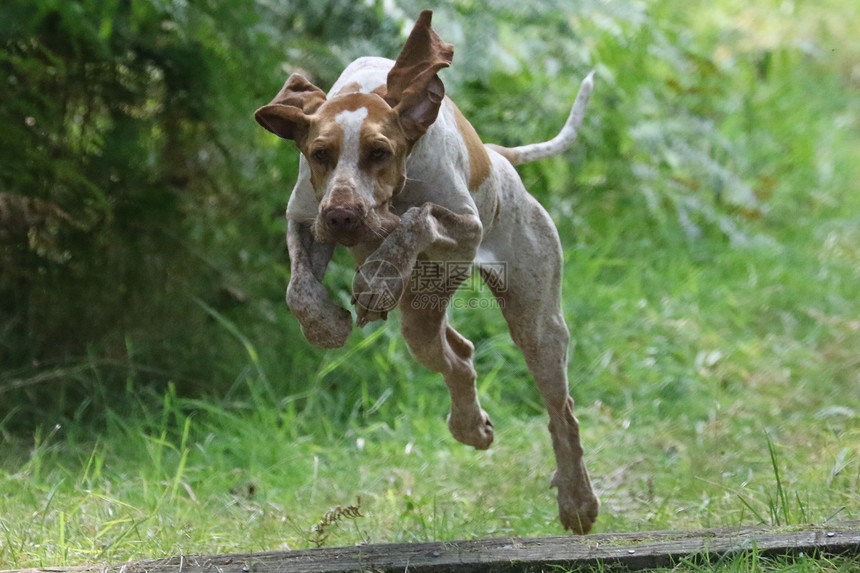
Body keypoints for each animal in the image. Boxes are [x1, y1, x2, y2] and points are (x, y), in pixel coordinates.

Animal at [255, 8, 596, 536]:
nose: (343, 217)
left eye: (379, 152)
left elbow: (418, 218)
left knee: (562, 413)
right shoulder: (304, 218)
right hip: (423, 312)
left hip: (536, 323)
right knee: (459, 354)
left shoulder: (466, 228)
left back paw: (577, 501)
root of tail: (499, 156)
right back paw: (470, 426)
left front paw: (377, 276)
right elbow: (298, 289)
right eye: (319, 154)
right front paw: (326, 325)